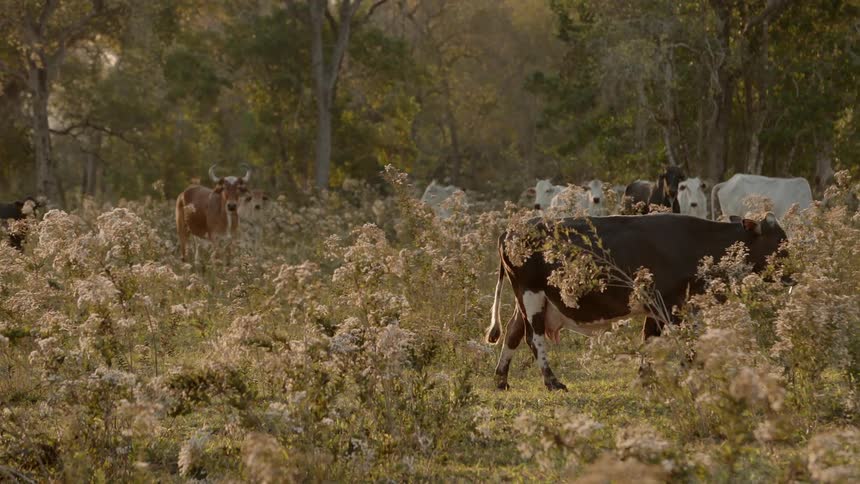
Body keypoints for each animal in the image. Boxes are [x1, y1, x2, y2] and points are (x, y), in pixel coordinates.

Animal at [484, 213, 787, 391]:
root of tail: (510, 230)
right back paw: (552, 382)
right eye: (781, 244)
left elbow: (653, 341)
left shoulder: (669, 306)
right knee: (533, 338)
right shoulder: (667, 304)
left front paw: (647, 377)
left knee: (512, 332)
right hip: (531, 293)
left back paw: (501, 380)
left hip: (530, 298)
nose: (794, 271)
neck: (696, 243)